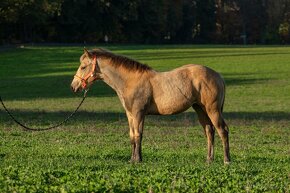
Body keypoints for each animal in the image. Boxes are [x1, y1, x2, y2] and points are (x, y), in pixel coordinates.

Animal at [71, 48, 231, 164]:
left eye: (83, 66)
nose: (74, 86)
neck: (130, 81)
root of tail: (218, 76)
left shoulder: (138, 113)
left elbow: (138, 135)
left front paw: (137, 160)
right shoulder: (130, 114)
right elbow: (132, 136)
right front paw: (133, 159)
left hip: (213, 110)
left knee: (222, 130)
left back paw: (226, 160)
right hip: (200, 109)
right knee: (209, 131)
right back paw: (209, 159)